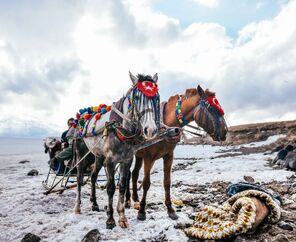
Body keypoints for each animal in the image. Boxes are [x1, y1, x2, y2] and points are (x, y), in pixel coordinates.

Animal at [126, 85, 228, 221]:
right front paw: (142, 211)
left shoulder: (168, 156)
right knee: (127, 174)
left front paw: (170, 209)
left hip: (139, 156)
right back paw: (128, 201)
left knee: (134, 173)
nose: (225, 131)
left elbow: (167, 182)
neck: (165, 129)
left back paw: (135, 199)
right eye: (211, 108)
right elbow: (146, 183)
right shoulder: (149, 158)